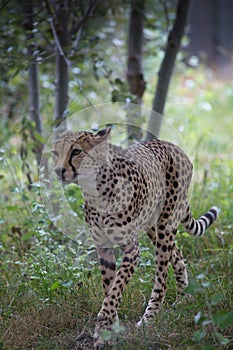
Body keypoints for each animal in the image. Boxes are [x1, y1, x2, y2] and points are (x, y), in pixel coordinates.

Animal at [52, 127, 218, 348]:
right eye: (56, 153)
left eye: (76, 151)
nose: (58, 170)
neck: (94, 188)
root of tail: (171, 145)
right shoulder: (103, 248)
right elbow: (109, 287)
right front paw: (109, 330)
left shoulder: (132, 251)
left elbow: (115, 289)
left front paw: (103, 325)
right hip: (151, 226)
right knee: (177, 254)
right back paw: (184, 296)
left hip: (165, 224)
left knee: (162, 276)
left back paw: (149, 318)